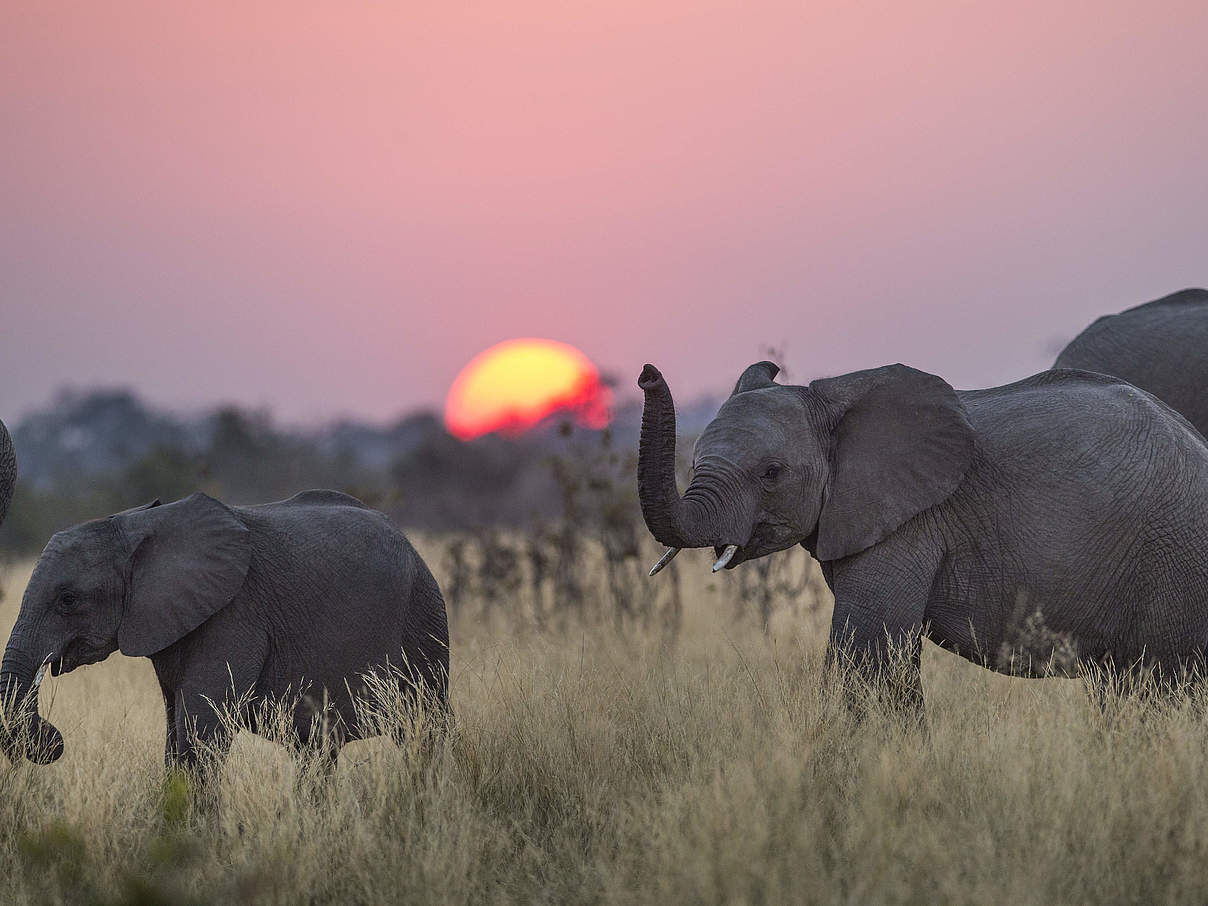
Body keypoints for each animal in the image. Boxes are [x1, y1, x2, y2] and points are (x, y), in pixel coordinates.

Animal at [0, 492, 449, 768]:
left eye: (67, 600)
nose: (56, 739)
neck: (140, 525)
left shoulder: (233, 615)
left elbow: (199, 732)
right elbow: (175, 735)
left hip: (423, 619)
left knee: (423, 730)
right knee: (318, 752)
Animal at [642, 359, 1208, 700]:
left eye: (771, 473)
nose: (647, 373)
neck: (828, 399)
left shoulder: (910, 522)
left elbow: (867, 652)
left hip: (1176, 557)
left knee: (1154, 687)